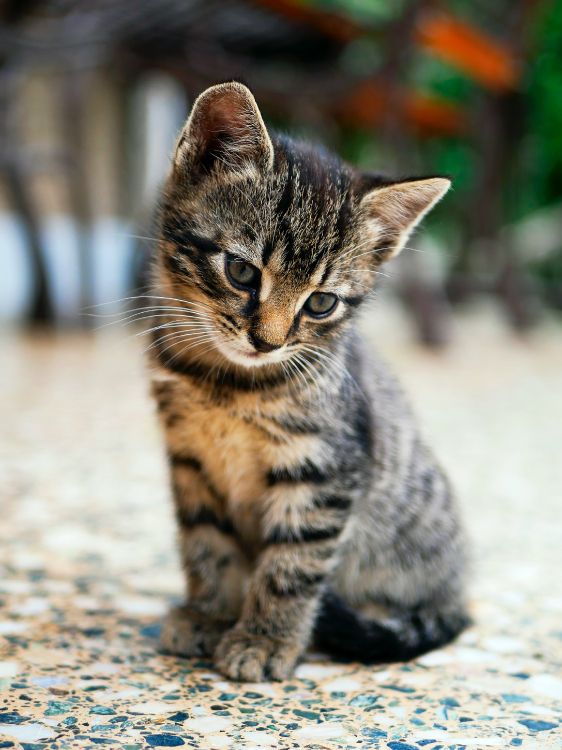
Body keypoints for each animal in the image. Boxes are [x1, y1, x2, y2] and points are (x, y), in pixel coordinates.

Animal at [147, 82, 466, 680]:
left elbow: (292, 563)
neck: (228, 384)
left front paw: (265, 639)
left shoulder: (326, 469)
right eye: (241, 272)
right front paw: (209, 613)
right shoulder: (190, 459)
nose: (267, 342)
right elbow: (206, 544)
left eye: (321, 303)